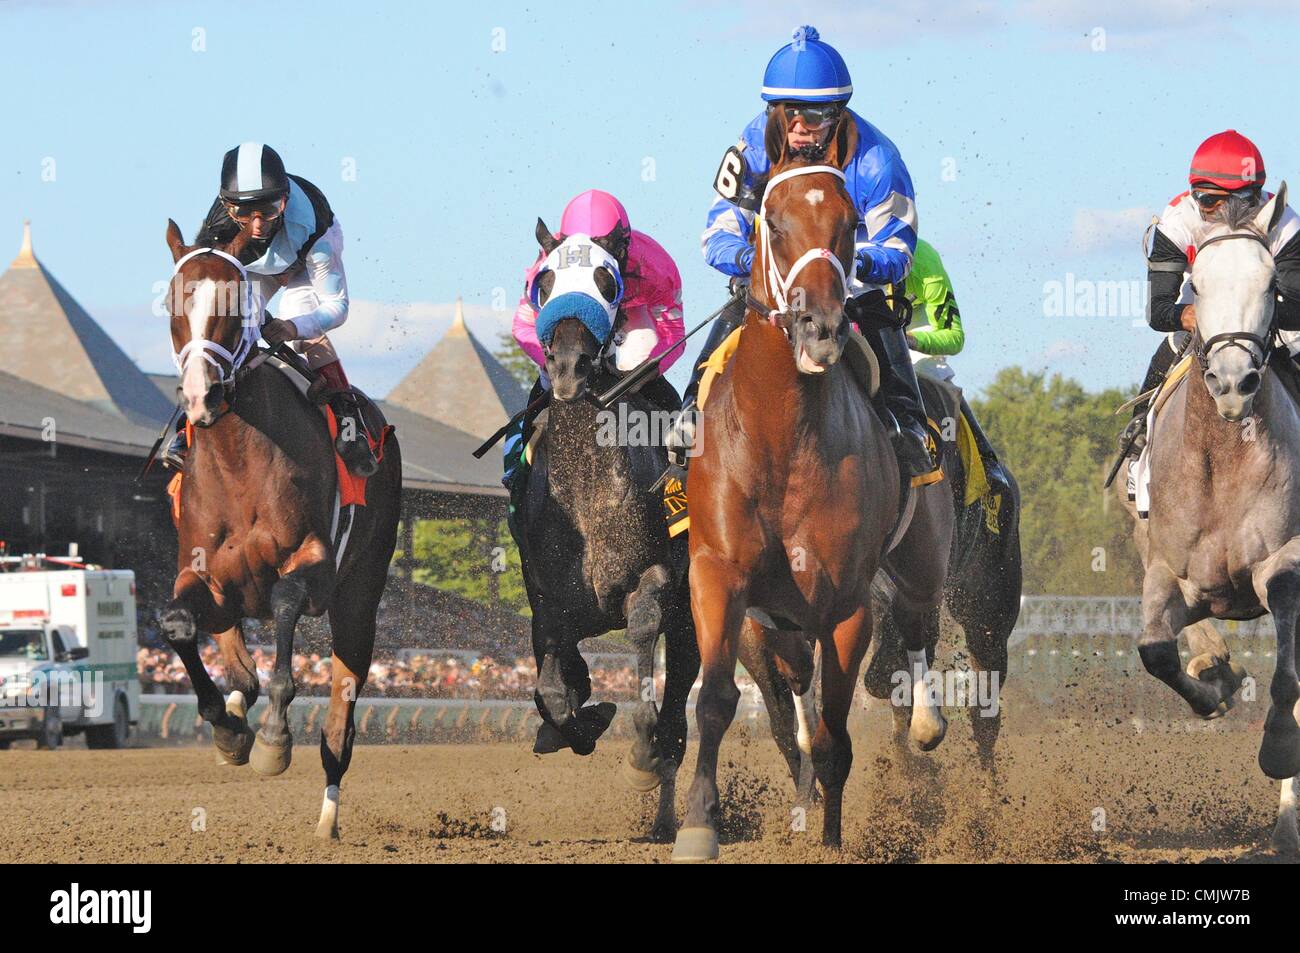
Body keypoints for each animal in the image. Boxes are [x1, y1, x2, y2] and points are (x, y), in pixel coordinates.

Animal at [158, 221, 400, 842]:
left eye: (238, 303)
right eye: (174, 302)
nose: (202, 395)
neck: (237, 462)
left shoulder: (313, 567)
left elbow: (287, 607)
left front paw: (272, 739)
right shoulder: (201, 575)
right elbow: (178, 624)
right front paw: (227, 730)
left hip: (359, 599)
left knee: (340, 724)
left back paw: (327, 818)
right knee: (233, 659)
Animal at [517, 219, 702, 837]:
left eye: (607, 280)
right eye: (545, 282)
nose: (568, 368)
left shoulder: (655, 577)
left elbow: (644, 646)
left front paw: (640, 752)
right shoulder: (548, 603)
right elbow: (553, 689)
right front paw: (582, 719)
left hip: (693, 620)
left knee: (679, 720)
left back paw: (667, 816)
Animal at [670, 113, 956, 863]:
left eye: (851, 221)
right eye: (771, 220)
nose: (821, 327)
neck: (779, 435)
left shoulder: (847, 601)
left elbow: (835, 732)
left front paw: (828, 836)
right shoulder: (719, 575)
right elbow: (717, 699)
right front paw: (699, 823)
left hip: (918, 564)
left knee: (915, 628)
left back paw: (925, 724)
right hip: (778, 618)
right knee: (796, 690)